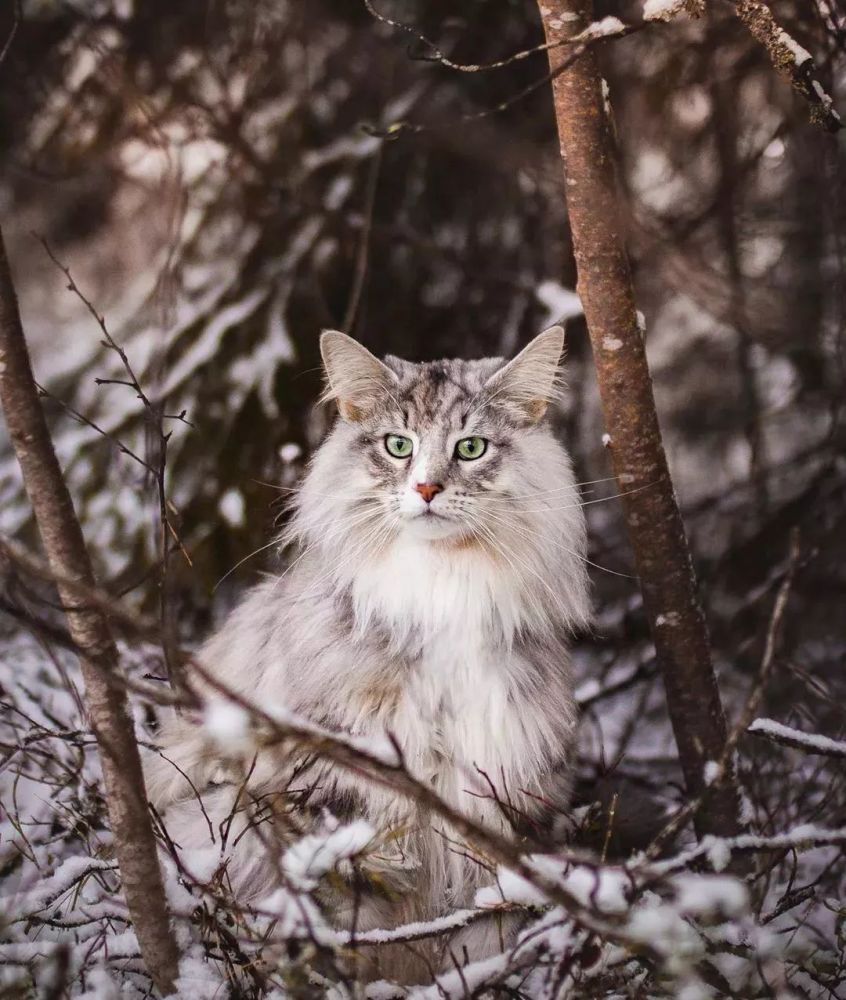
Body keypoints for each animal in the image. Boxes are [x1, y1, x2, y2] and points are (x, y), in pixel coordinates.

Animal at [146, 330, 592, 984]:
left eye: (471, 448)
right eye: (397, 446)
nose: (427, 489)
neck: (440, 593)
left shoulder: (506, 803)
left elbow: (483, 935)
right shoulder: (334, 802)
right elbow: (354, 932)